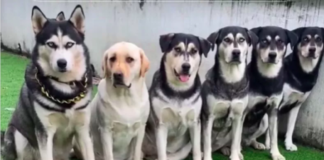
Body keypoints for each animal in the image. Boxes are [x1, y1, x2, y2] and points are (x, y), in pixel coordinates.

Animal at [1, 4, 94, 160]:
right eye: (51, 44)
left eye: (69, 44)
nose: (61, 63)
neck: (64, 85)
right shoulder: (44, 132)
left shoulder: (82, 129)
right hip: (18, 137)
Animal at [142, 32, 210, 160]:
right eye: (177, 49)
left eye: (194, 51)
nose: (186, 66)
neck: (179, 90)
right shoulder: (161, 124)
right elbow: (162, 154)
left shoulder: (195, 122)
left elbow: (196, 149)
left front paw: (199, 154)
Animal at [201, 26, 256, 160]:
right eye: (226, 39)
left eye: (242, 39)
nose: (236, 52)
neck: (231, 79)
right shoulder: (208, 116)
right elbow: (206, 143)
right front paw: (207, 157)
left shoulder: (238, 116)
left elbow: (236, 141)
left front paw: (235, 156)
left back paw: (228, 150)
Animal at [242, 26, 298, 160]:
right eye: (264, 41)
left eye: (280, 42)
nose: (272, 55)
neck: (267, 77)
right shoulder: (244, 109)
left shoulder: (273, 110)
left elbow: (274, 137)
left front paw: (276, 154)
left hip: (264, 123)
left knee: (250, 138)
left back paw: (255, 143)